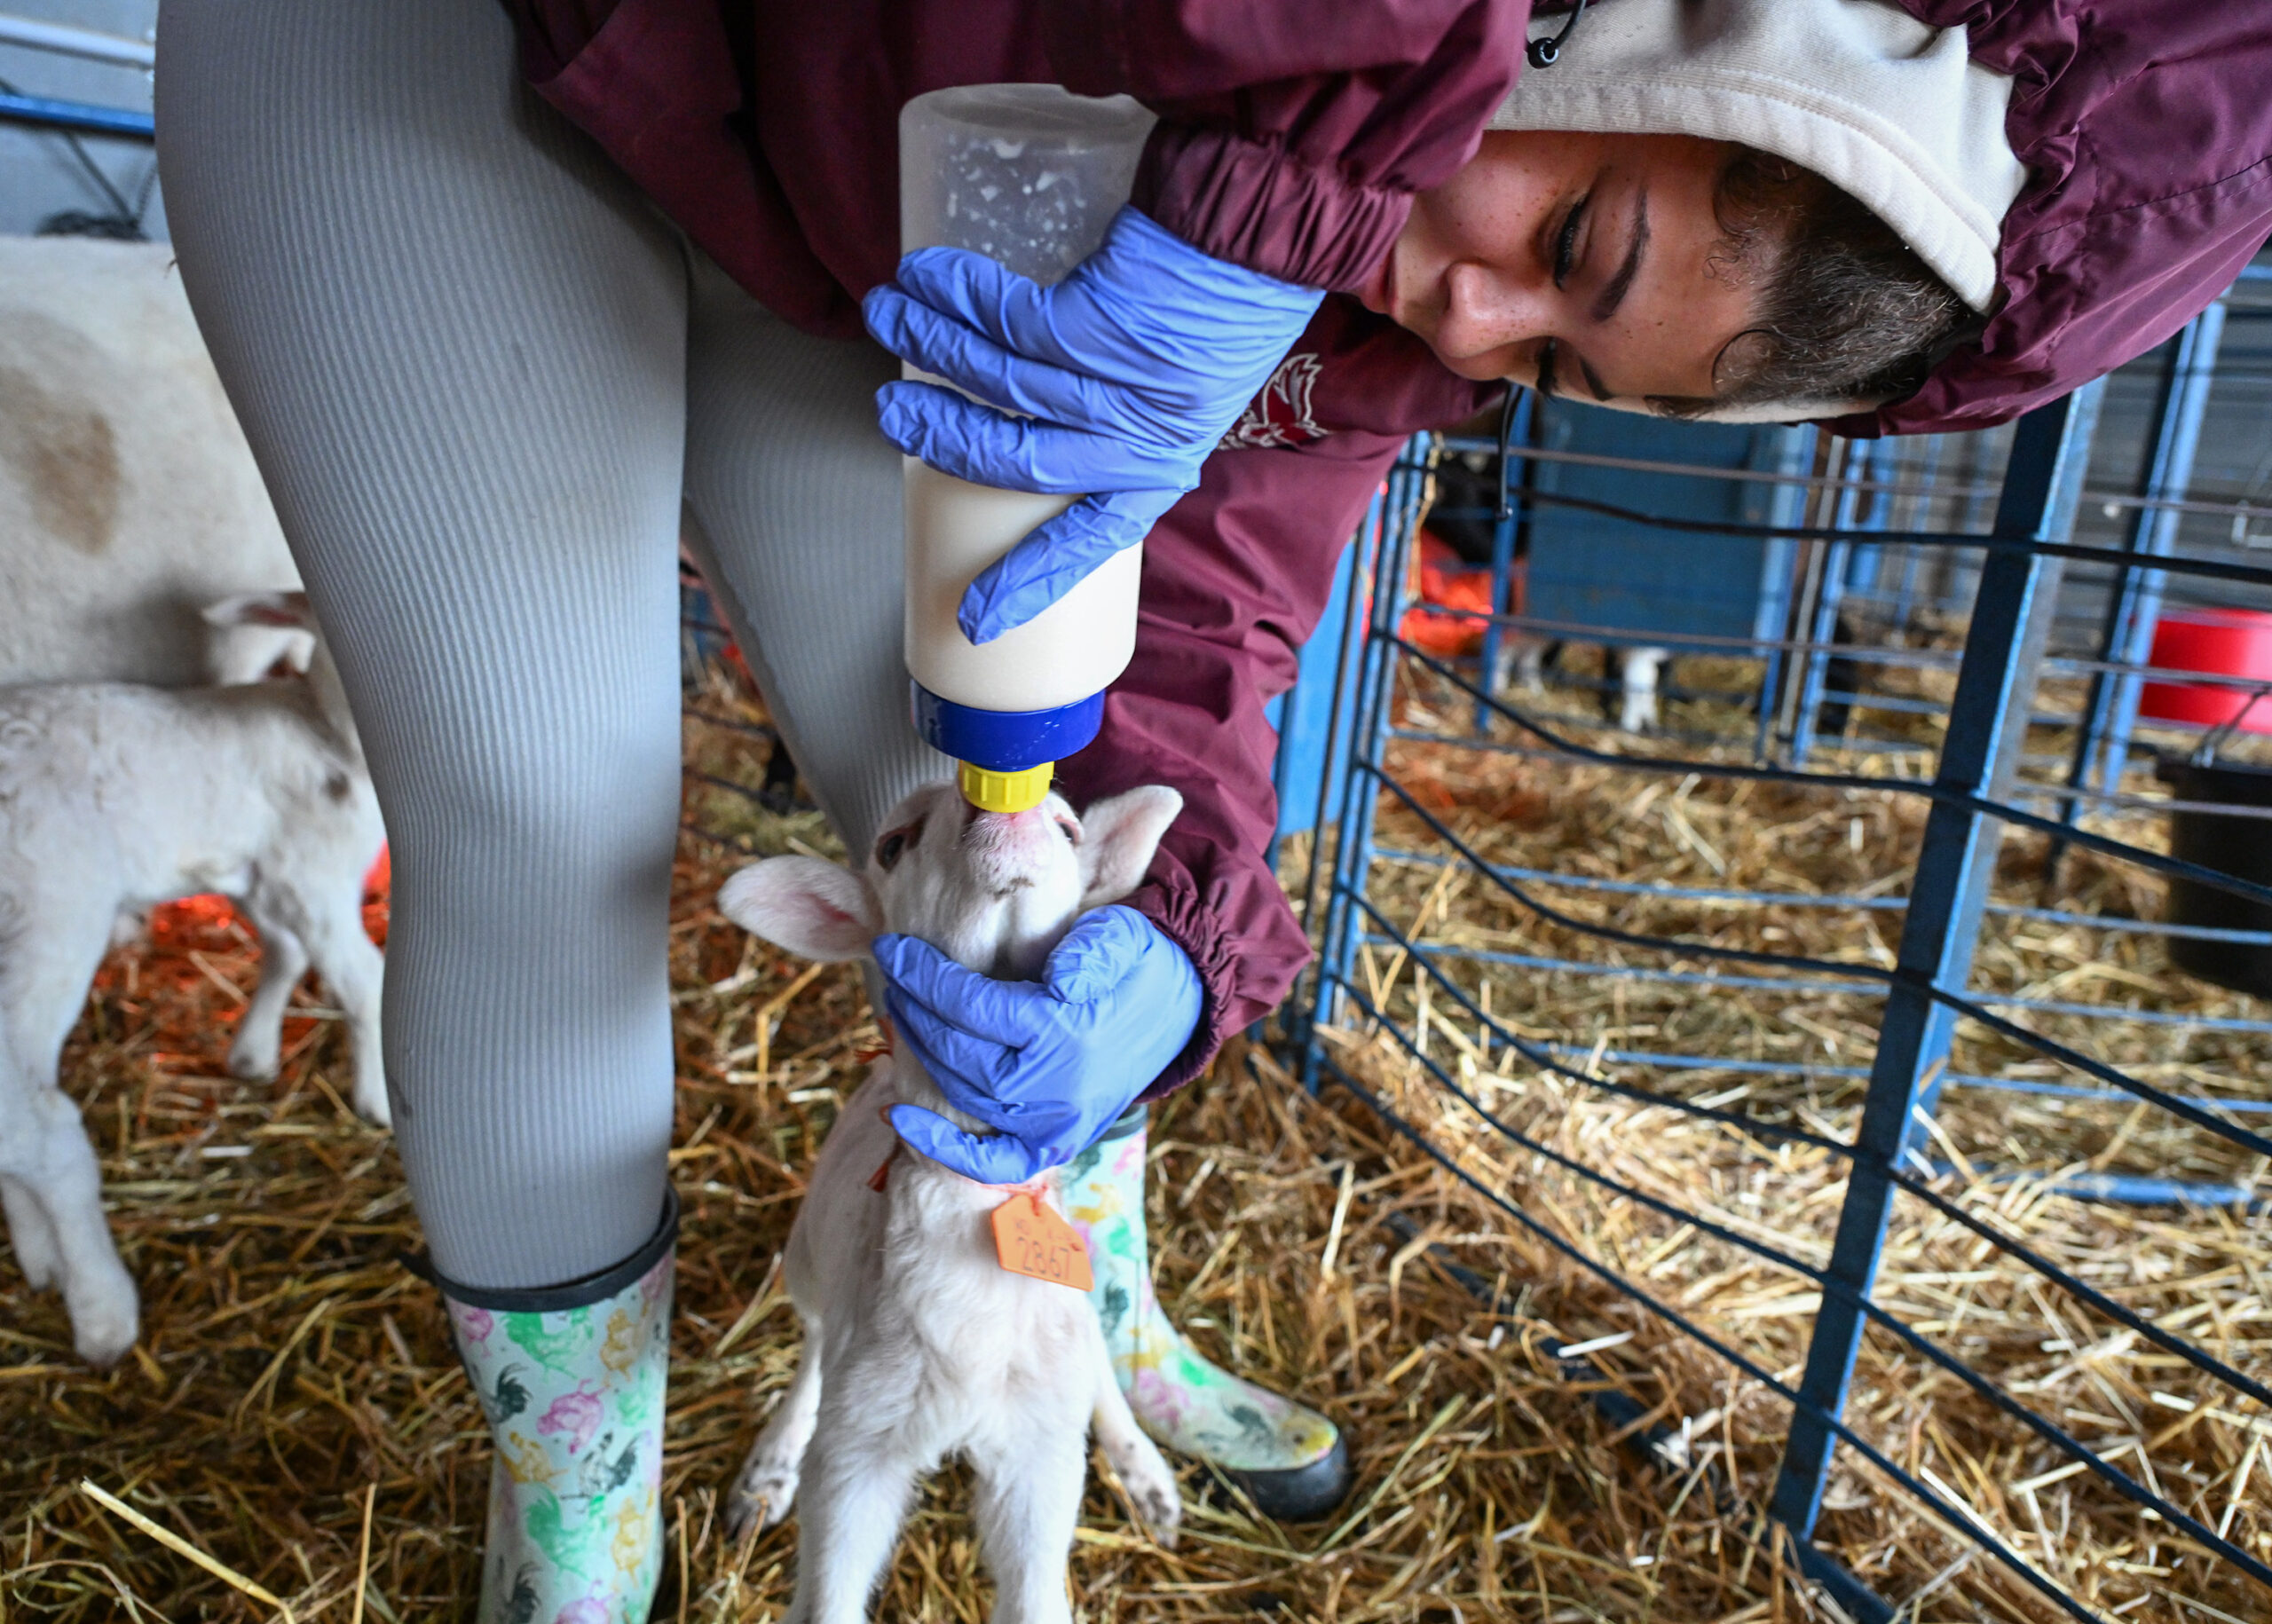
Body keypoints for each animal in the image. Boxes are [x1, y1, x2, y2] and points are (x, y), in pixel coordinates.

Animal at [715, 781, 1184, 1624]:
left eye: (1069, 829)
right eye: (893, 844)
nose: (1008, 812)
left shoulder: (1037, 1462)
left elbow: (1037, 1599)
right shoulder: (858, 1455)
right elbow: (829, 1595)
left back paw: (1143, 1471)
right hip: (806, 1266)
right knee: (811, 1350)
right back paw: (769, 1469)